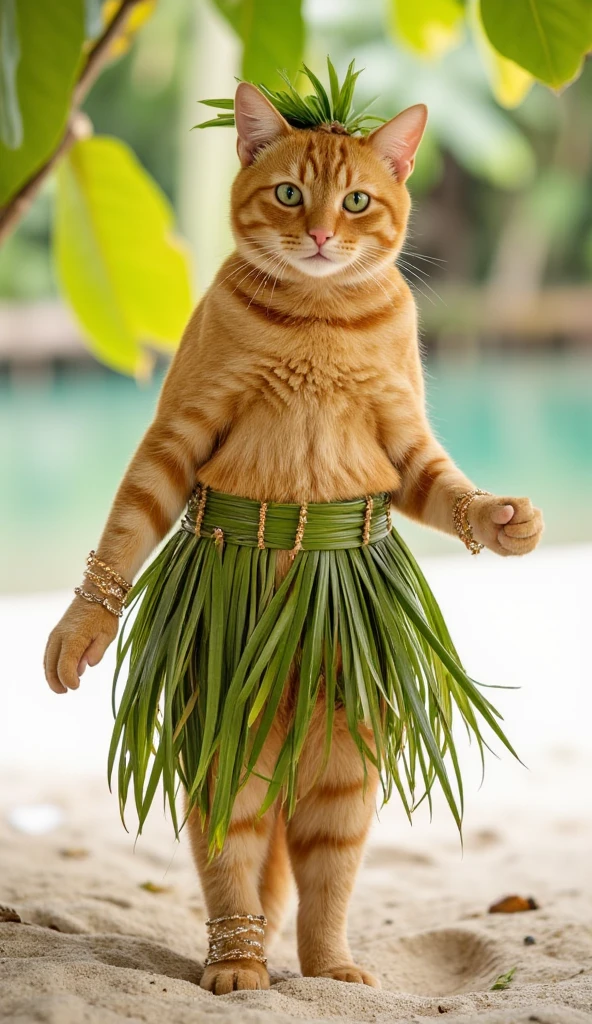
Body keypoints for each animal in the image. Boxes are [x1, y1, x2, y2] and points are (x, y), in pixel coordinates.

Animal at [43, 83, 540, 995]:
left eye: (356, 202)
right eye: (287, 193)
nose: (317, 235)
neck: (321, 313)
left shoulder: (403, 441)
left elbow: (444, 489)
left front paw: (501, 520)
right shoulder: (178, 434)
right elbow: (128, 524)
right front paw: (83, 626)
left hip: (344, 742)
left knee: (325, 867)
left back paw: (329, 965)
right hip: (225, 730)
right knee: (233, 846)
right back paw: (237, 960)